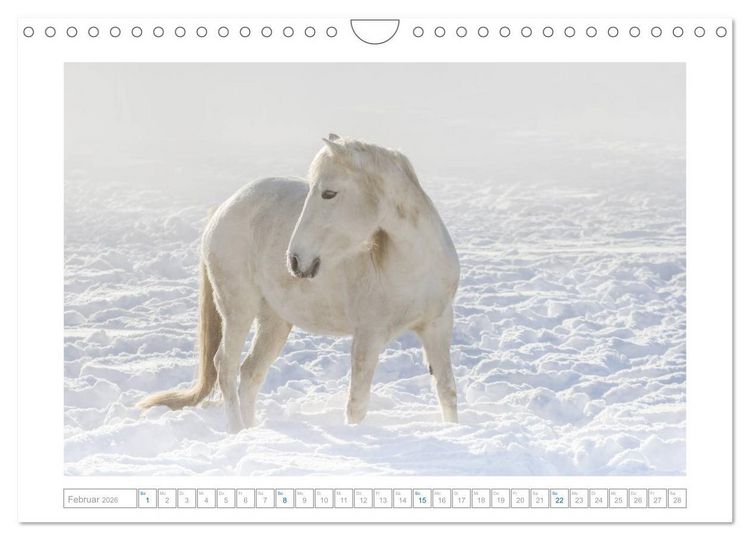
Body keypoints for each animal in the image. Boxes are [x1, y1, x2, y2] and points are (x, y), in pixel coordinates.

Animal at [138, 135, 460, 432]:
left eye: (329, 193)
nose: (295, 260)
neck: (412, 264)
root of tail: (224, 208)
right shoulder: (368, 336)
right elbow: (357, 405)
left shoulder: (437, 326)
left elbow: (446, 389)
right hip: (238, 308)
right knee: (226, 367)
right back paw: (238, 431)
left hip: (275, 321)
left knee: (250, 373)